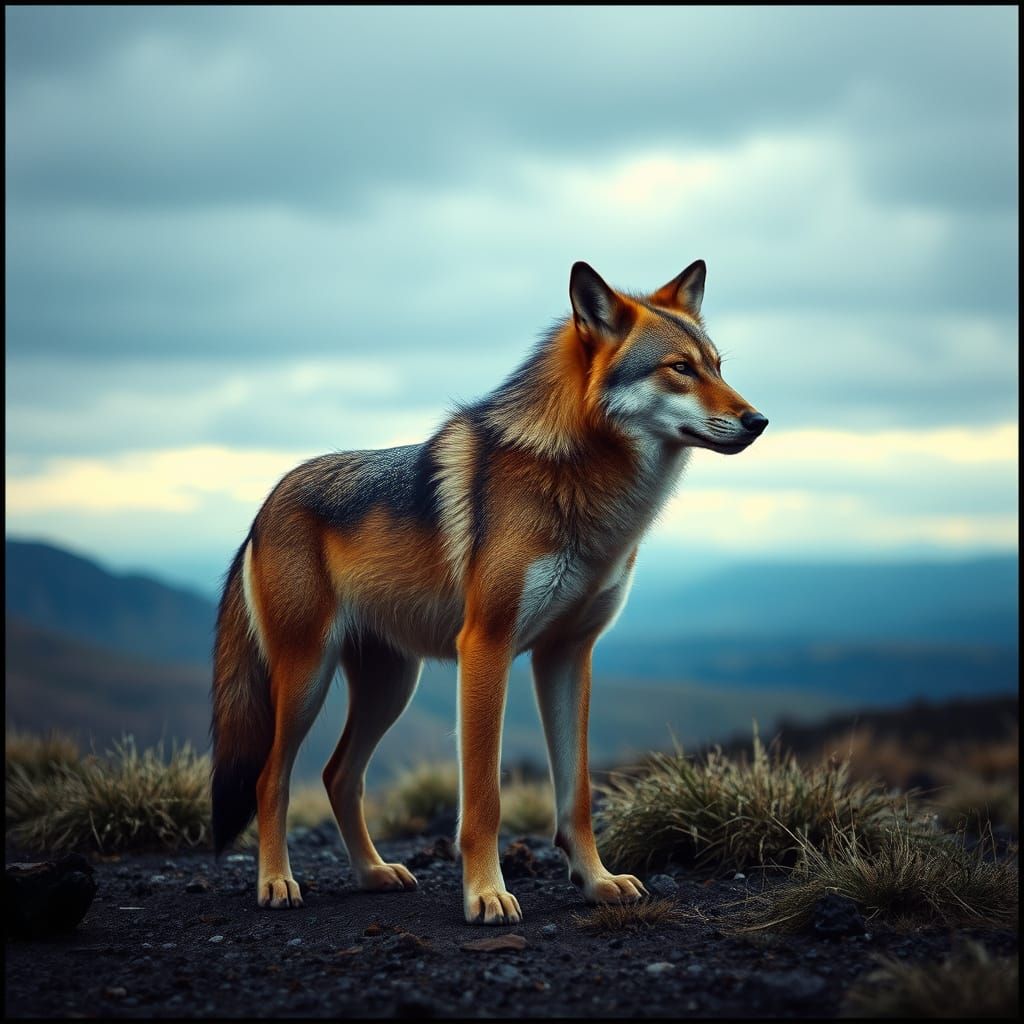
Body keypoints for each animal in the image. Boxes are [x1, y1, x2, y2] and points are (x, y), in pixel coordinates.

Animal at [210, 260, 767, 924]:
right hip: (307, 679)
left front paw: (597, 881)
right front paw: (486, 894)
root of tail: (262, 508)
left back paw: (373, 873)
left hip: (390, 688)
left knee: (338, 775)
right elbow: (483, 799)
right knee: (271, 778)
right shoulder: (486, 646)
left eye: (718, 366)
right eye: (680, 368)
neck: (584, 491)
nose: (759, 421)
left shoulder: (567, 655)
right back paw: (276, 882)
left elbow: (576, 796)